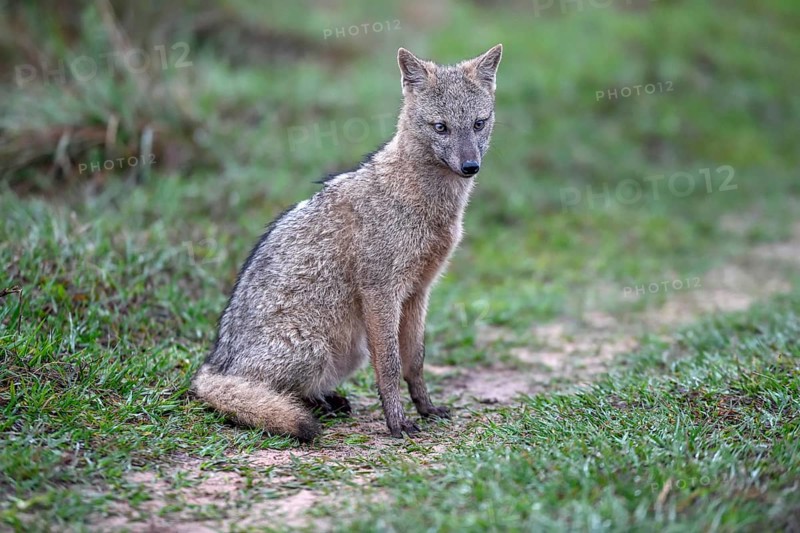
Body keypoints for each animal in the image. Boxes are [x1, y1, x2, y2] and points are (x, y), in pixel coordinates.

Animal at [191, 44, 503, 441]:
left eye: (478, 123)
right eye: (441, 127)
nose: (470, 166)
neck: (424, 202)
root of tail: (214, 364)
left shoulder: (418, 291)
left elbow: (415, 361)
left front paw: (426, 408)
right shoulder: (381, 292)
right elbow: (390, 366)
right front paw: (396, 422)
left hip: (349, 350)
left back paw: (328, 401)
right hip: (317, 349)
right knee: (265, 392)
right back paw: (313, 406)